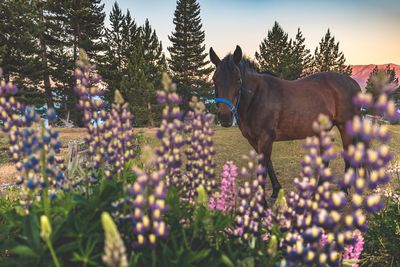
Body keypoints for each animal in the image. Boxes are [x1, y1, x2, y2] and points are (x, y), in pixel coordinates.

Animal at [211, 45, 360, 199]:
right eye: (214, 79)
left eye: (238, 79)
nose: (225, 116)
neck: (257, 96)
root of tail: (353, 83)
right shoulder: (254, 140)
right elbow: (269, 165)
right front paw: (276, 191)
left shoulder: (266, 137)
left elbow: (263, 168)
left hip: (345, 127)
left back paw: (343, 190)